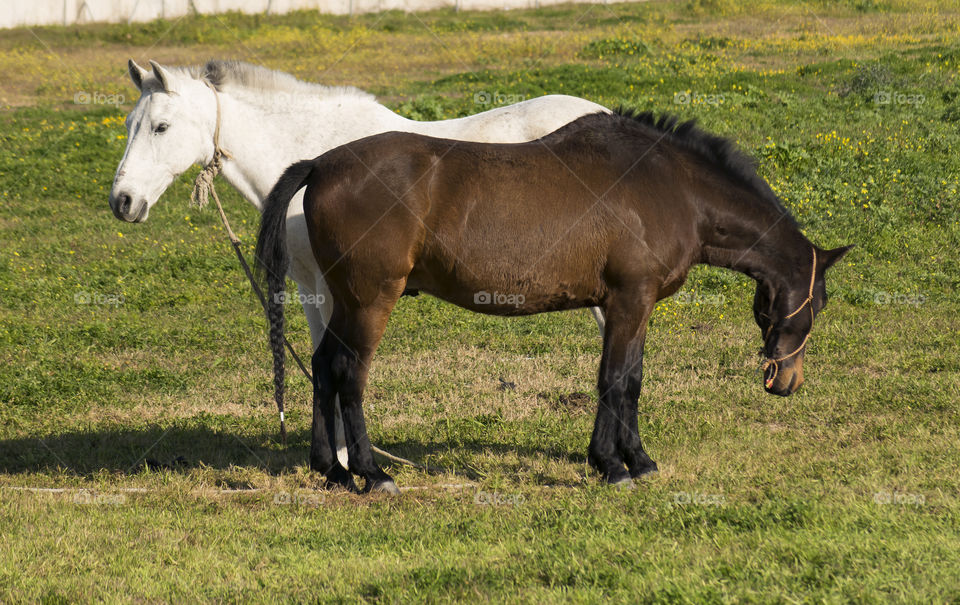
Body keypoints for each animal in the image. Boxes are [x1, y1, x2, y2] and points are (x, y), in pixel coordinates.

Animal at [108, 59, 609, 464]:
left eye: (161, 127)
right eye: (131, 123)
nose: (122, 201)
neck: (310, 154)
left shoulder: (340, 292)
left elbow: (339, 364)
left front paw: (348, 460)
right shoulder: (310, 290)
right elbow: (321, 361)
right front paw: (335, 456)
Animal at [255, 109, 852, 494]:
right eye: (817, 305)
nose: (786, 381)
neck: (673, 188)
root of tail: (322, 164)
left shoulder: (634, 308)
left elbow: (631, 380)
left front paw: (636, 460)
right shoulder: (629, 302)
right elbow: (614, 380)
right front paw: (612, 466)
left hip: (345, 302)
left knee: (323, 366)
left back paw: (331, 470)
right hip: (369, 301)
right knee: (349, 374)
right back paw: (370, 473)